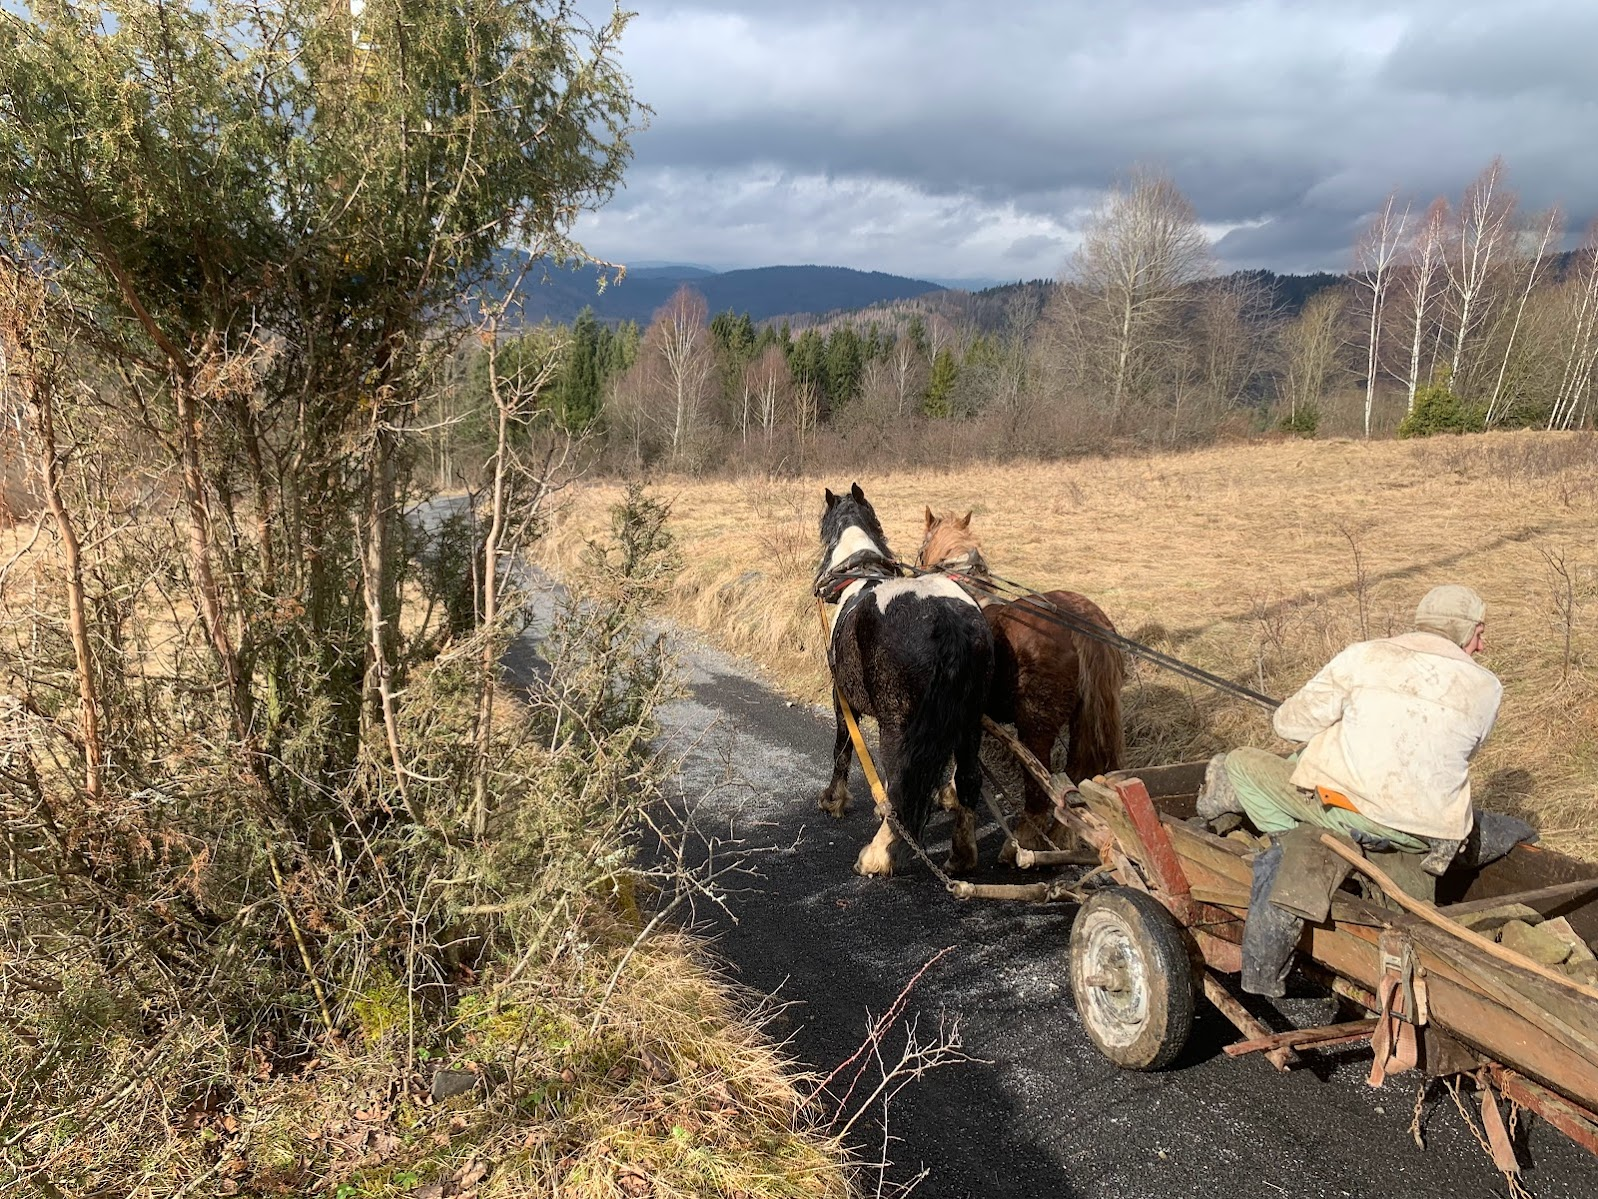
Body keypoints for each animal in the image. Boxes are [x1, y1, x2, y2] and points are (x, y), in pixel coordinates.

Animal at [818, 482, 990, 876]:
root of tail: (947, 620)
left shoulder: (841, 699)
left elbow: (842, 750)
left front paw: (834, 799)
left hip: (898, 725)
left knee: (901, 783)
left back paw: (878, 854)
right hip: (969, 721)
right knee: (967, 779)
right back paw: (962, 854)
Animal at [920, 508, 1131, 856]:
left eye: (922, 548)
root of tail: (1082, 622)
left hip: (1036, 722)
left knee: (1039, 782)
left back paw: (1024, 838)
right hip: (1082, 718)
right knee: (1075, 777)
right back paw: (1063, 835)